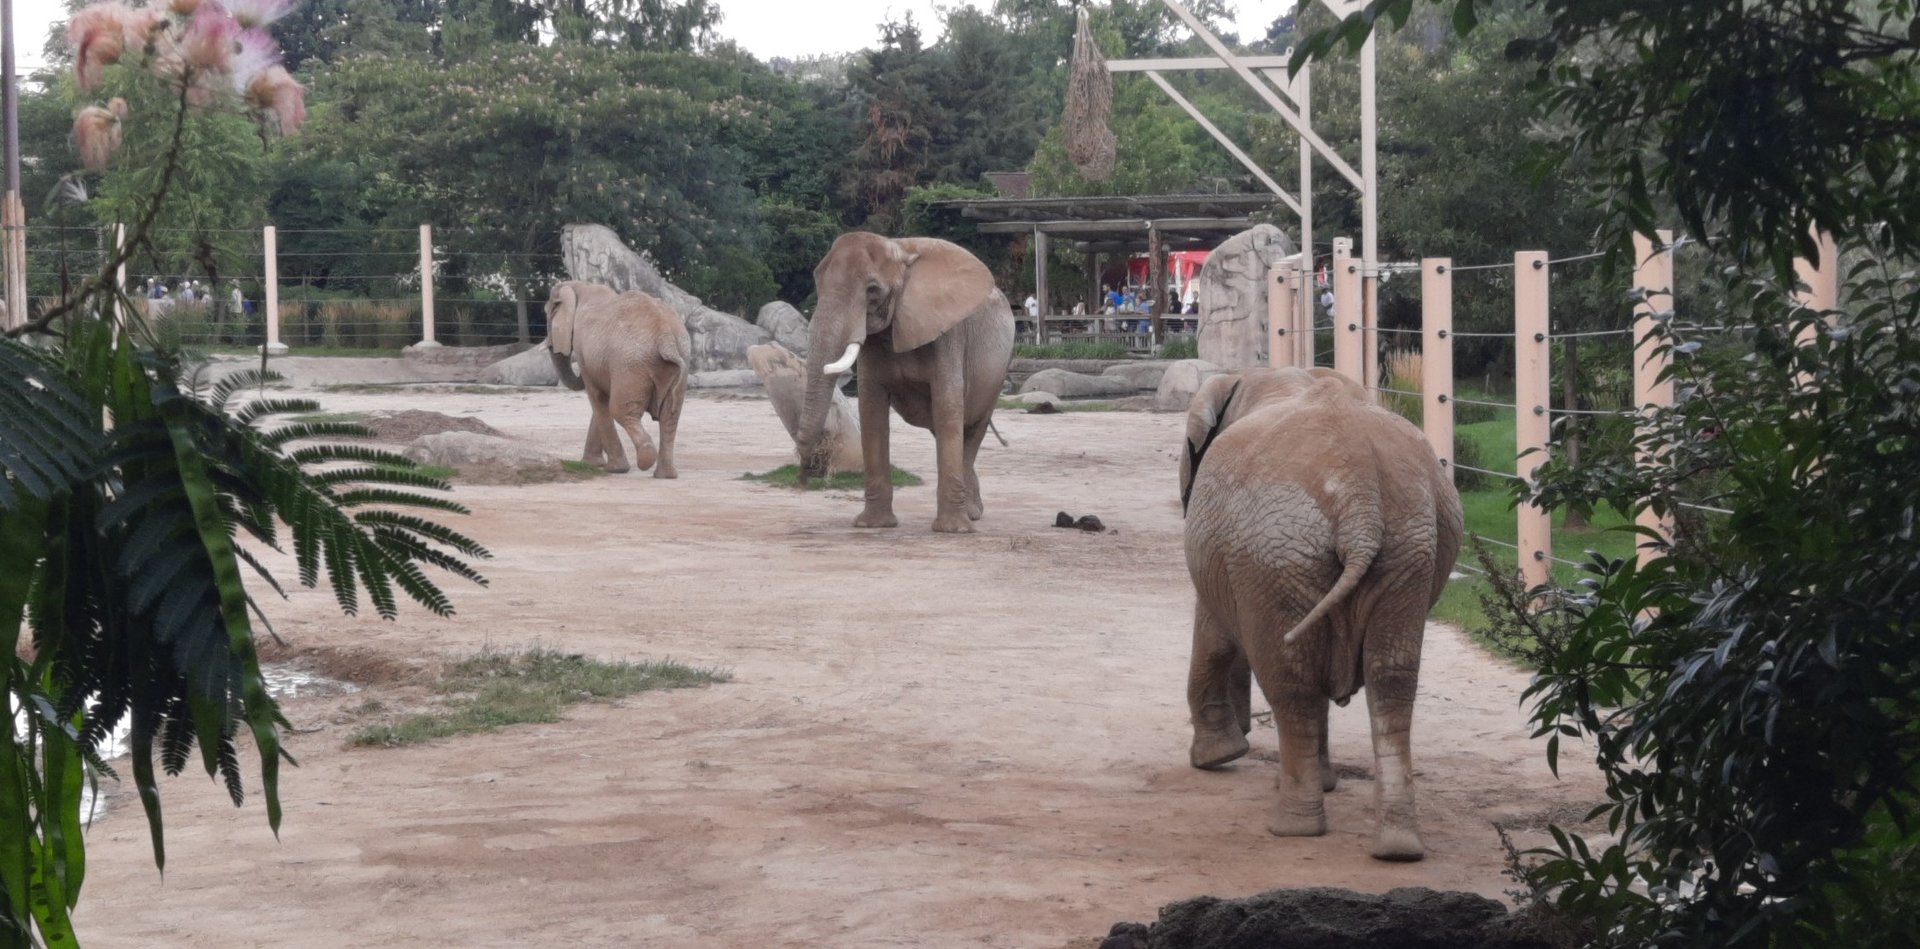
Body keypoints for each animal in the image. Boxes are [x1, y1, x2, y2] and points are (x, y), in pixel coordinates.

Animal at [546, 280, 692, 477]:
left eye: (548, 314)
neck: (580, 286)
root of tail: (665, 336)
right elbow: (601, 401)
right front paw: (591, 464)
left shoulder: (584, 350)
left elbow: (598, 398)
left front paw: (613, 469)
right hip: (679, 359)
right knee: (670, 415)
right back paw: (666, 475)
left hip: (629, 365)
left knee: (620, 410)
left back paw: (645, 459)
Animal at [796, 232, 1015, 533]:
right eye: (817, 281)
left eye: (872, 290)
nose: (804, 477)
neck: (899, 250)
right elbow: (871, 410)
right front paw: (873, 525)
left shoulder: (947, 334)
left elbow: (947, 408)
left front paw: (951, 531)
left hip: (996, 374)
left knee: (972, 428)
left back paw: (970, 516)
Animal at [1179, 366, 1463, 861]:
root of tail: (1358, 498)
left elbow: (1213, 631)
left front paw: (1217, 759)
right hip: (1407, 550)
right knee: (1391, 679)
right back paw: (1398, 848)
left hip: (1278, 551)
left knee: (1292, 682)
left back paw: (1291, 829)